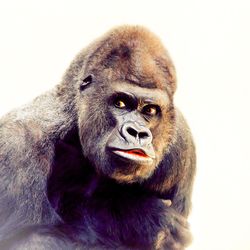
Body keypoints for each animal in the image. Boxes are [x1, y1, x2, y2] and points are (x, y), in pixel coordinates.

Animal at [0, 25, 195, 250]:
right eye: (120, 103)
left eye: (150, 110)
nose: (137, 133)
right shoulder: (17, 144)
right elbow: (28, 240)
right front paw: (139, 219)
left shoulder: (182, 145)